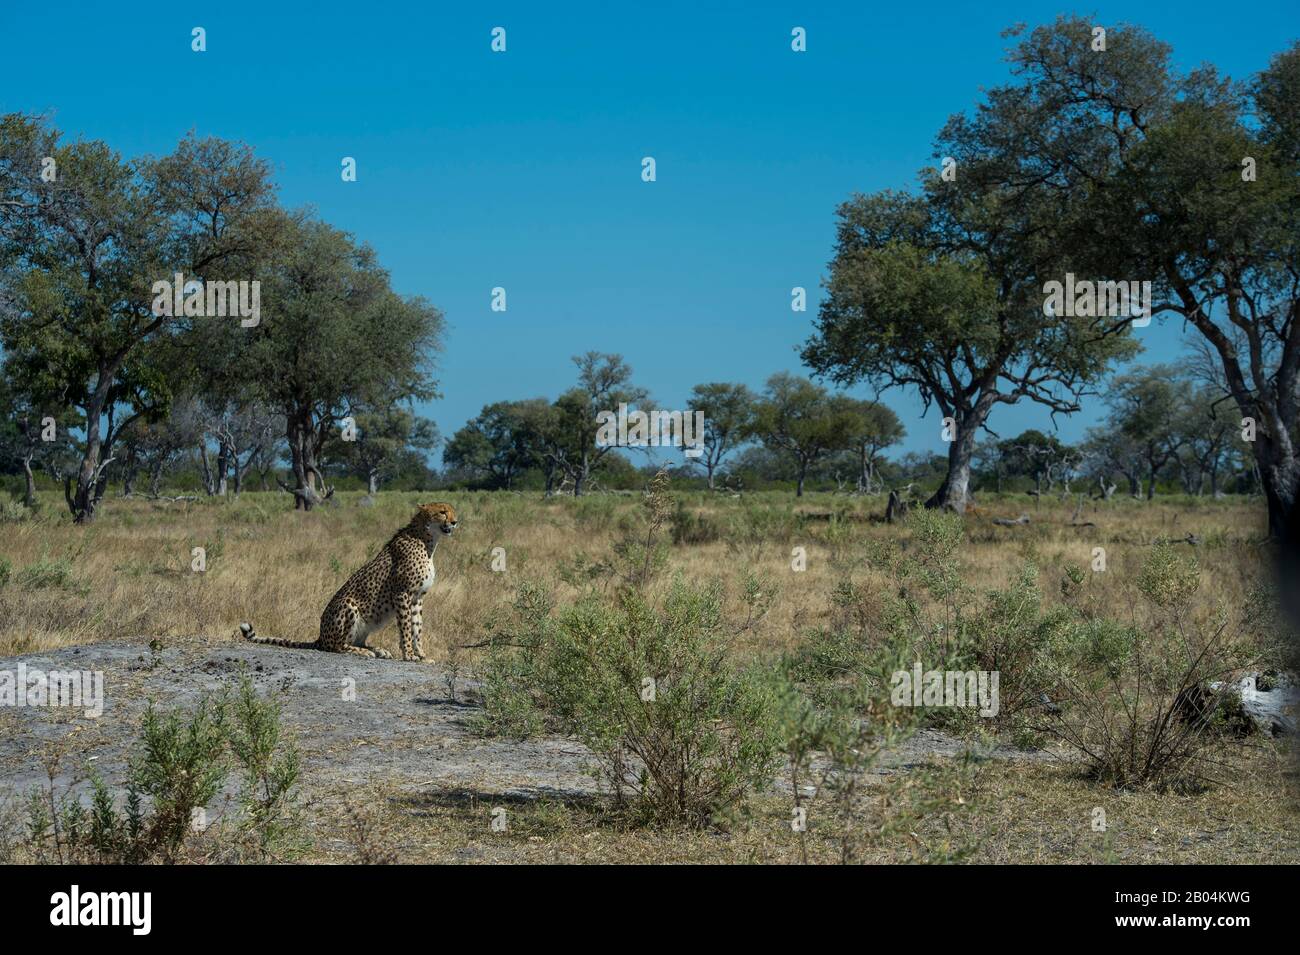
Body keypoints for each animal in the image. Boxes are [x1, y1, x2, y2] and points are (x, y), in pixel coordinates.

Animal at [238, 502, 458, 661]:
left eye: (453, 511)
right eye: (442, 512)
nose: (455, 522)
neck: (427, 539)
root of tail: (320, 637)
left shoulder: (418, 598)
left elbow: (417, 627)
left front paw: (422, 655)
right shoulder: (402, 593)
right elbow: (405, 628)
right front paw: (409, 655)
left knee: (355, 641)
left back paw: (378, 649)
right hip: (348, 605)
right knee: (336, 646)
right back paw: (367, 652)